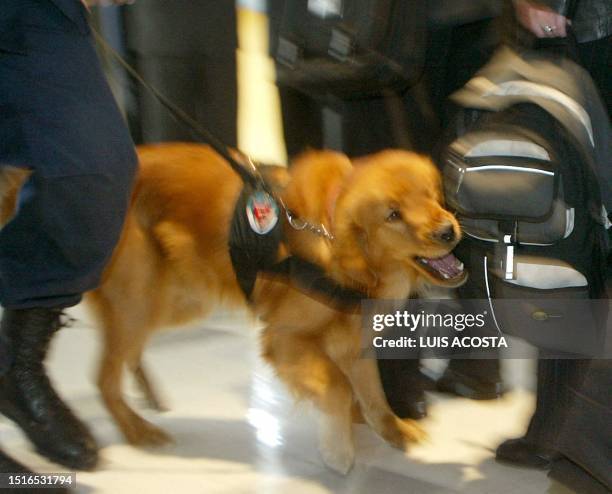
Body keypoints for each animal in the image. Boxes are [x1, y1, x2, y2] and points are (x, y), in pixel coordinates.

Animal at [2, 145, 466, 472]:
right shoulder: (285, 339)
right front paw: (337, 448)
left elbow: (372, 394)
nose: (448, 232)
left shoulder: (353, 336)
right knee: (103, 376)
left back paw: (148, 396)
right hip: (141, 298)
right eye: (393, 215)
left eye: (431, 195)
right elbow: (336, 386)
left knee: (124, 358)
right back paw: (137, 430)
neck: (334, 234)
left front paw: (393, 431)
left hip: (175, 299)